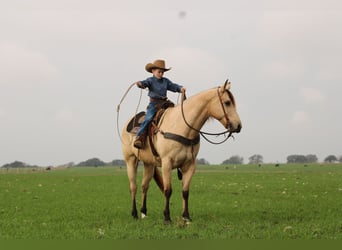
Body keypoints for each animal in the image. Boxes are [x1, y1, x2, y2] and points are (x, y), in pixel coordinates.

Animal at [121, 80, 242, 223]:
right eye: (227, 102)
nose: (238, 126)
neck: (182, 127)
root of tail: (128, 122)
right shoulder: (167, 164)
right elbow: (168, 190)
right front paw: (167, 217)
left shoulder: (189, 165)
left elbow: (185, 191)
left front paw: (186, 216)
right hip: (131, 160)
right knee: (133, 187)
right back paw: (134, 214)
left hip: (149, 164)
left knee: (145, 186)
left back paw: (144, 213)